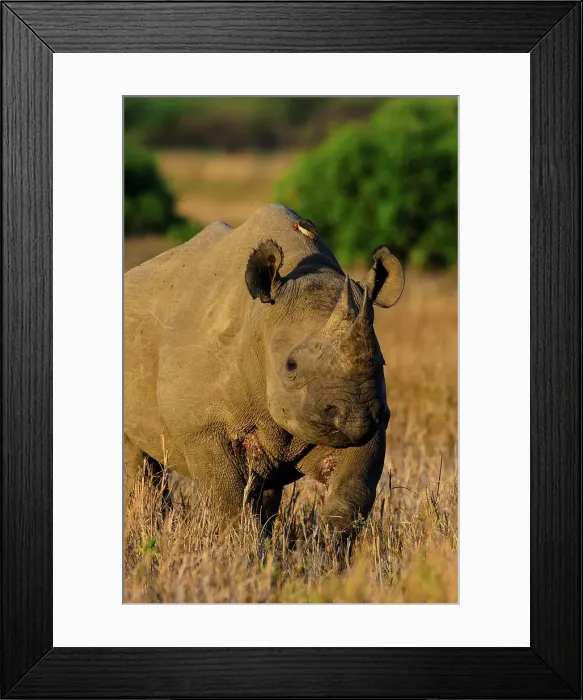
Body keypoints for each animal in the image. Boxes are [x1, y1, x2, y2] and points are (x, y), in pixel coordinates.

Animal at [124, 204, 404, 533]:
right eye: (291, 366)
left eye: (380, 362)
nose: (356, 416)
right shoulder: (201, 427)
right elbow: (231, 505)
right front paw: (243, 546)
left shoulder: (372, 423)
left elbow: (351, 498)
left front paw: (327, 546)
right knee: (139, 463)